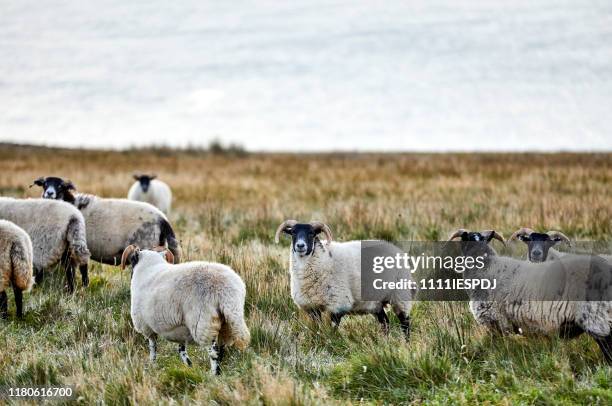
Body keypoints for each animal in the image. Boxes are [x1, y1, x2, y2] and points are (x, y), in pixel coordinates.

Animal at [120, 244, 250, 374]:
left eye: (132, 260)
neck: (148, 267)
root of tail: (225, 290)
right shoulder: (180, 331)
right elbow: (181, 350)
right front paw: (189, 366)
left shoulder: (147, 327)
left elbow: (153, 347)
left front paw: (152, 364)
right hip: (227, 324)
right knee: (222, 349)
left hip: (203, 322)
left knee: (213, 351)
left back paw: (214, 374)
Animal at [276, 220, 412, 338]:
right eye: (293, 232)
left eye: (312, 233)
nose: (300, 245)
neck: (324, 259)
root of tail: (395, 249)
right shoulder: (312, 307)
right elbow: (317, 328)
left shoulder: (338, 303)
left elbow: (332, 328)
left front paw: (331, 341)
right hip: (376, 303)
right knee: (385, 322)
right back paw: (384, 342)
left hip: (400, 295)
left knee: (405, 322)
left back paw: (406, 344)